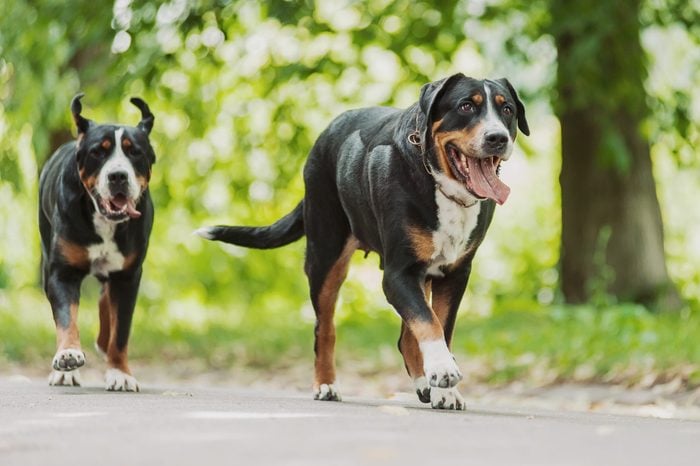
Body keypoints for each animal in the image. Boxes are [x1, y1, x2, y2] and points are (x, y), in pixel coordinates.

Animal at [39, 93, 157, 392]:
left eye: (134, 151)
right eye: (98, 152)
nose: (118, 176)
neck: (105, 221)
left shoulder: (128, 276)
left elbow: (121, 330)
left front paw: (120, 372)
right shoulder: (62, 273)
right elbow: (66, 319)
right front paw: (67, 358)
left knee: (106, 299)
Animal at [194, 73, 528, 408]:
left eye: (507, 109)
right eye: (466, 106)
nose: (497, 137)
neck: (441, 185)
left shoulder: (454, 274)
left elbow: (439, 325)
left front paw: (444, 388)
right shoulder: (397, 273)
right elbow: (427, 321)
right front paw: (444, 370)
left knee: (405, 337)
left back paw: (423, 383)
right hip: (325, 257)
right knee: (324, 329)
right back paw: (326, 385)